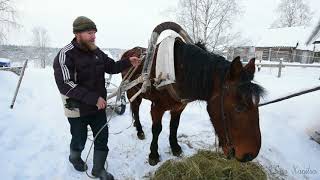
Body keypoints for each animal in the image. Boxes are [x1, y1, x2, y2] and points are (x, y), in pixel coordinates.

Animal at [119, 25, 264, 166]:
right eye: (239, 107)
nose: (250, 155)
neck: (175, 71)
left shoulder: (178, 107)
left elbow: (174, 126)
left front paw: (175, 147)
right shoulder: (157, 108)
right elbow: (156, 129)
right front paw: (153, 154)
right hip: (131, 91)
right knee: (135, 109)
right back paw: (139, 130)